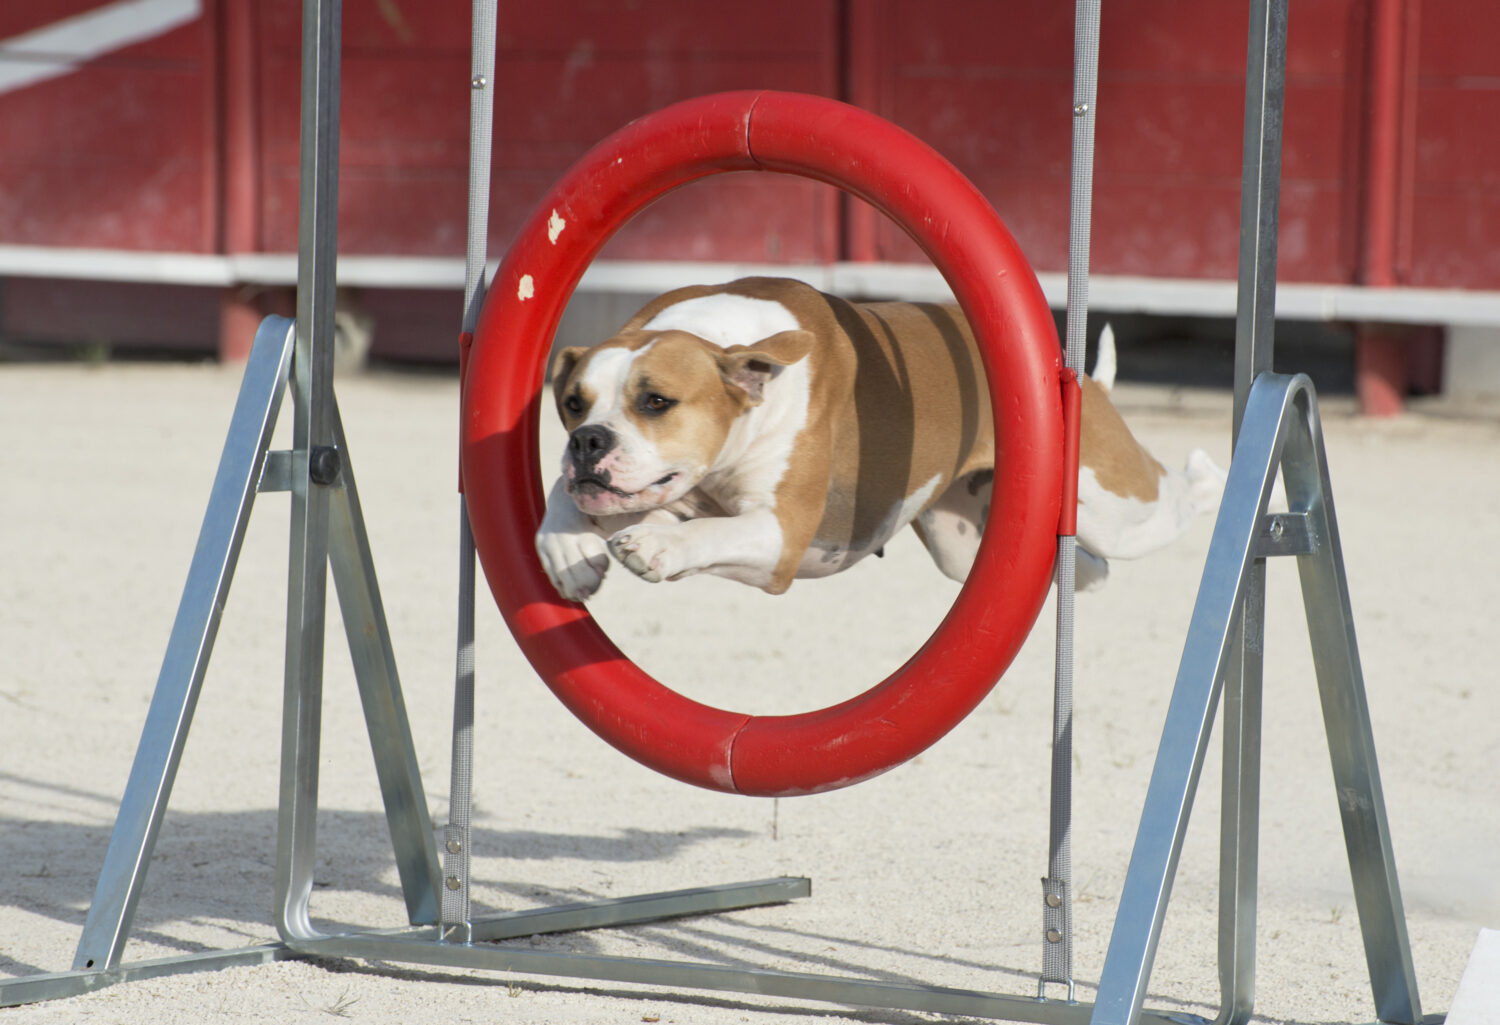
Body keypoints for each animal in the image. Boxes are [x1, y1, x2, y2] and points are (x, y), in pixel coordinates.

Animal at [534, 276, 1224, 606]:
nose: (589, 441)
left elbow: (707, 531)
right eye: (572, 404)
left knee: (1175, 496)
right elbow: (564, 495)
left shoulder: (780, 537)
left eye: (657, 402)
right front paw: (569, 548)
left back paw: (1212, 476)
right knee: (1088, 568)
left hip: (1120, 508)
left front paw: (657, 543)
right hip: (962, 543)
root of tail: (1080, 380)